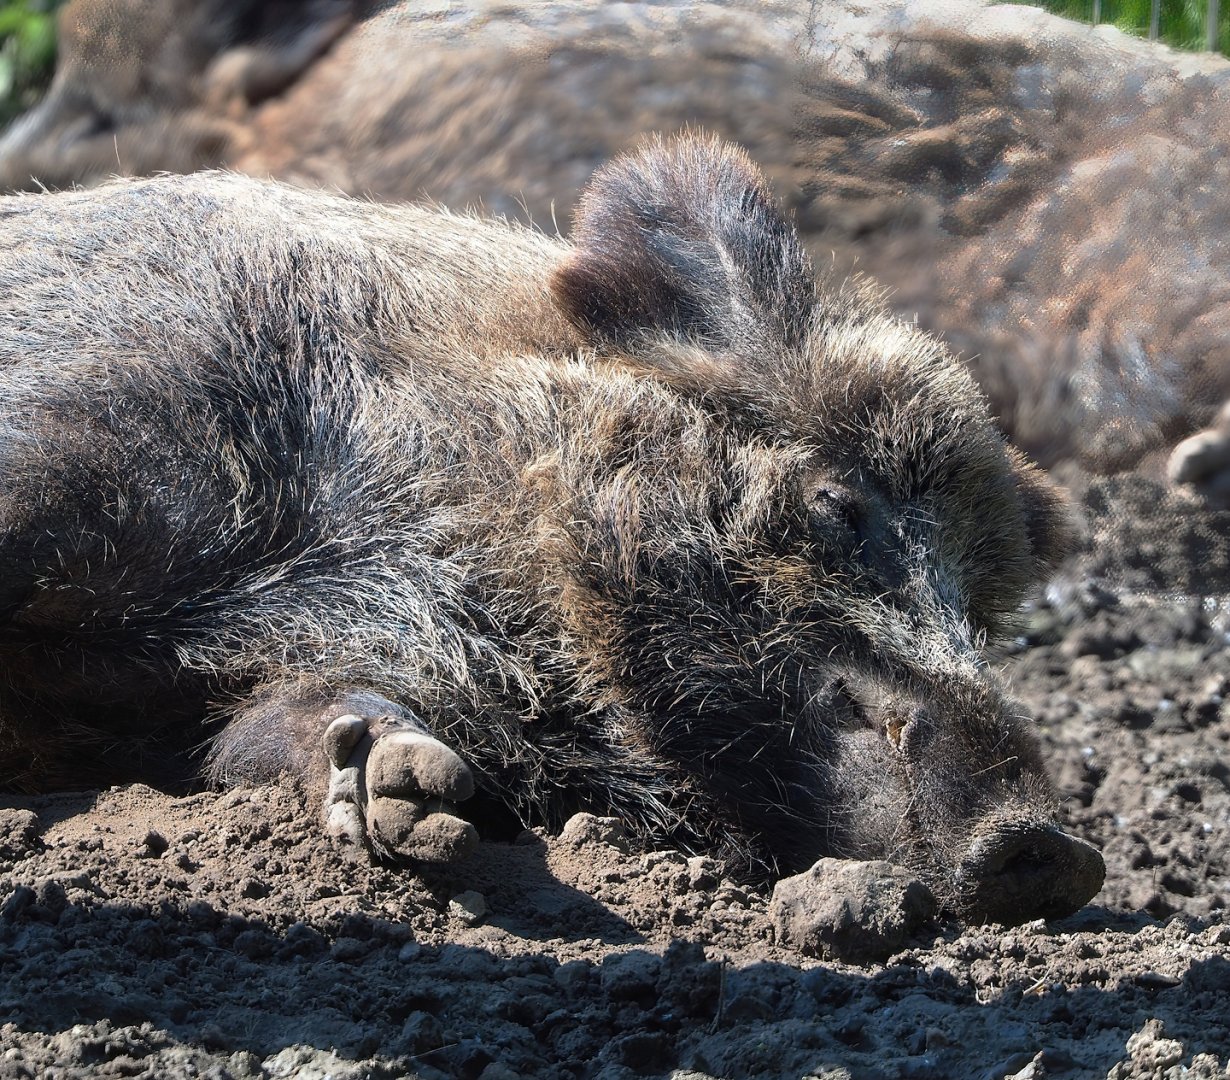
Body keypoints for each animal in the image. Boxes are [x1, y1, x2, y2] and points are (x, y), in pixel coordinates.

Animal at [0, 133, 1104, 924]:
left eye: (985, 614)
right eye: (840, 503)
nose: (1052, 846)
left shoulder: (274, 677)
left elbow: (276, 731)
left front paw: (414, 792)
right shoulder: (106, 422)